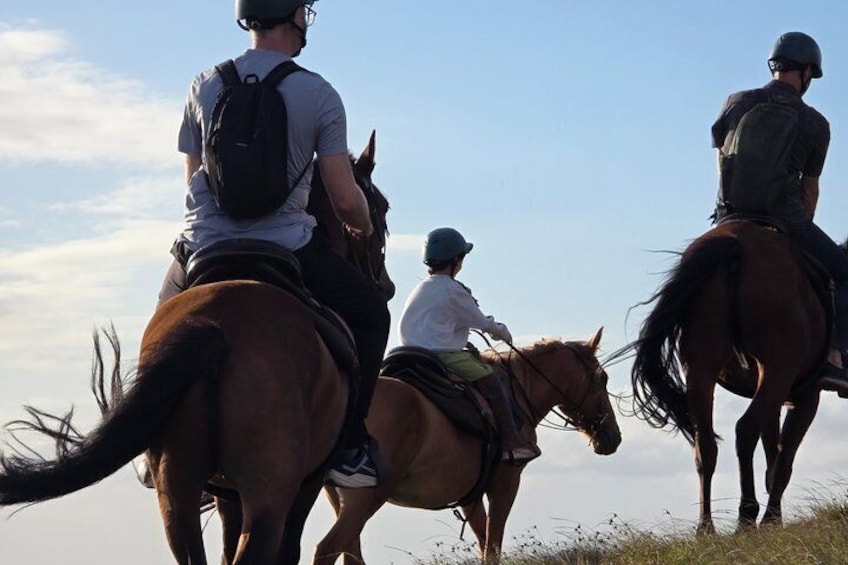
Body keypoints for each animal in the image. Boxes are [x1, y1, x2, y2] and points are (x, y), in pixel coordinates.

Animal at [0, 132, 392, 565]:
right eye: (381, 208)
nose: (386, 287)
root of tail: (216, 328)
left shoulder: (227, 495)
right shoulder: (307, 482)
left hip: (178, 496)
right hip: (268, 494)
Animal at [313, 328, 622, 564]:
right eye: (602, 378)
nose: (614, 437)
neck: (516, 393)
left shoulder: (471, 496)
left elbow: (484, 541)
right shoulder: (505, 483)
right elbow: (493, 545)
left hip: (337, 496)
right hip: (365, 498)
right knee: (329, 548)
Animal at [622, 219, 830, 533]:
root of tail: (733, 243)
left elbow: (773, 455)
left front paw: (776, 520)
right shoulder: (804, 398)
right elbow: (782, 461)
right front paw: (773, 520)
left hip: (702, 369)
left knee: (705, 446)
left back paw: (706, 528)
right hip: (776, 368)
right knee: (745, 430)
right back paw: (747, 516)